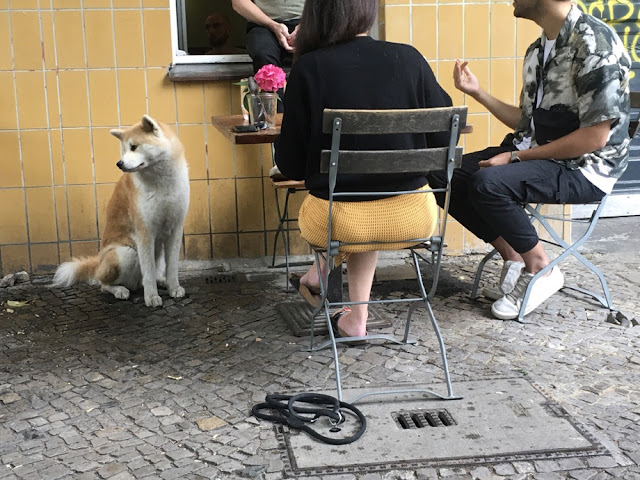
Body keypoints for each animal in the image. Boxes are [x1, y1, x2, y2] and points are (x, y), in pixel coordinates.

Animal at [52, 114, 190, 306]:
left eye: (134, 147)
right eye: (124, 150)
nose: (119, 163)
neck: (162, 183)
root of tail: (99, 261)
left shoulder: (175, 228)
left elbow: (172, 267)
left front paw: (174, 287)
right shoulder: (145, 232)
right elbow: (148, 273)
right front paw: (151, 297)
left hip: (156, 252)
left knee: (151, 274)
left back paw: (160, 281)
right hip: (126, 254)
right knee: (104, 284)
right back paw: (120, 290)